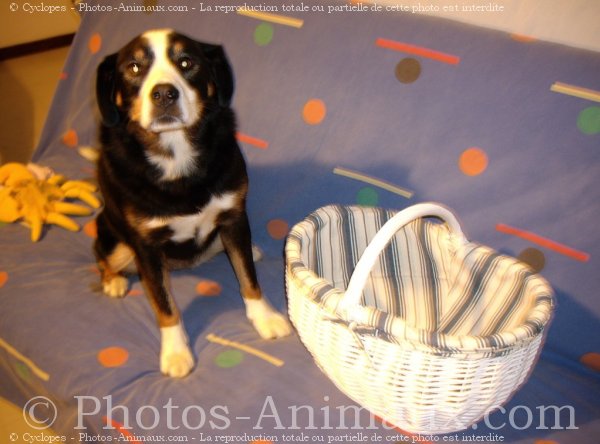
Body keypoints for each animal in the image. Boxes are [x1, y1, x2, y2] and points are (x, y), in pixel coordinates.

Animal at [92, 29, 292, 376]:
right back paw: (114, 281)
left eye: (186, 62)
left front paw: (264, 317)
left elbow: (248, 277)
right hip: (115, 240)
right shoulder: (145, 245)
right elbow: (165, 304)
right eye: (134, 67)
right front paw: (175, 353)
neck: (176, 159)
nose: (164, 94)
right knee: (101, 257)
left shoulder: (233, 214)